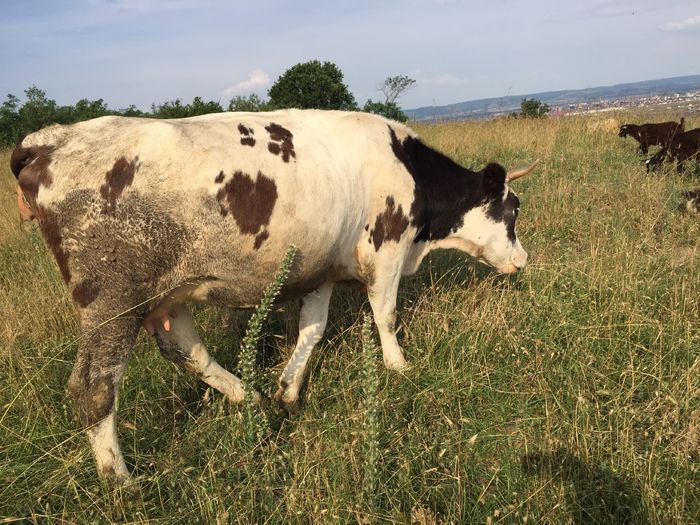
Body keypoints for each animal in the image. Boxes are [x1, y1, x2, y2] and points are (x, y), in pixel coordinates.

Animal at [10, 109, 536, 484]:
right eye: (511, 209)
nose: (523, 259)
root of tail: (50, 140)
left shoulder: (321, 267)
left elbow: (313, 329)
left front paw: (289, 389)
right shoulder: (387, 248)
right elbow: (384, 314)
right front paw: (398, 366)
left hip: (167, 293)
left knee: (186, 350)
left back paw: (253, 398)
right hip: (112, 301)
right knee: (93, 388)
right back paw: (121, 482)